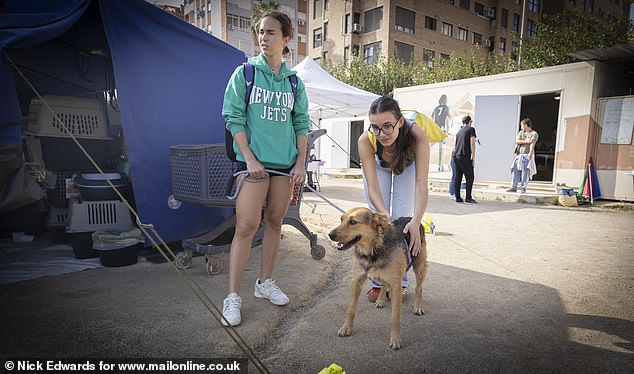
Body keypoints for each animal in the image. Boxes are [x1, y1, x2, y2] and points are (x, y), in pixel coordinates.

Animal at [328, 206, 428, 350]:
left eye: (353, 222)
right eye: (341, 219)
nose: (330, 235)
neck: (373, 248)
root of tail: (411, 219)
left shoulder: (396, 286)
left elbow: (395, 318)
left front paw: (396, 339)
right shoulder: (356, 280)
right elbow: (350, 309)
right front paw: (346, 328)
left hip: (419, 265)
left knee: (418, 288)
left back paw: (418, 307)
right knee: (384, 284)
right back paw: (380, 300)